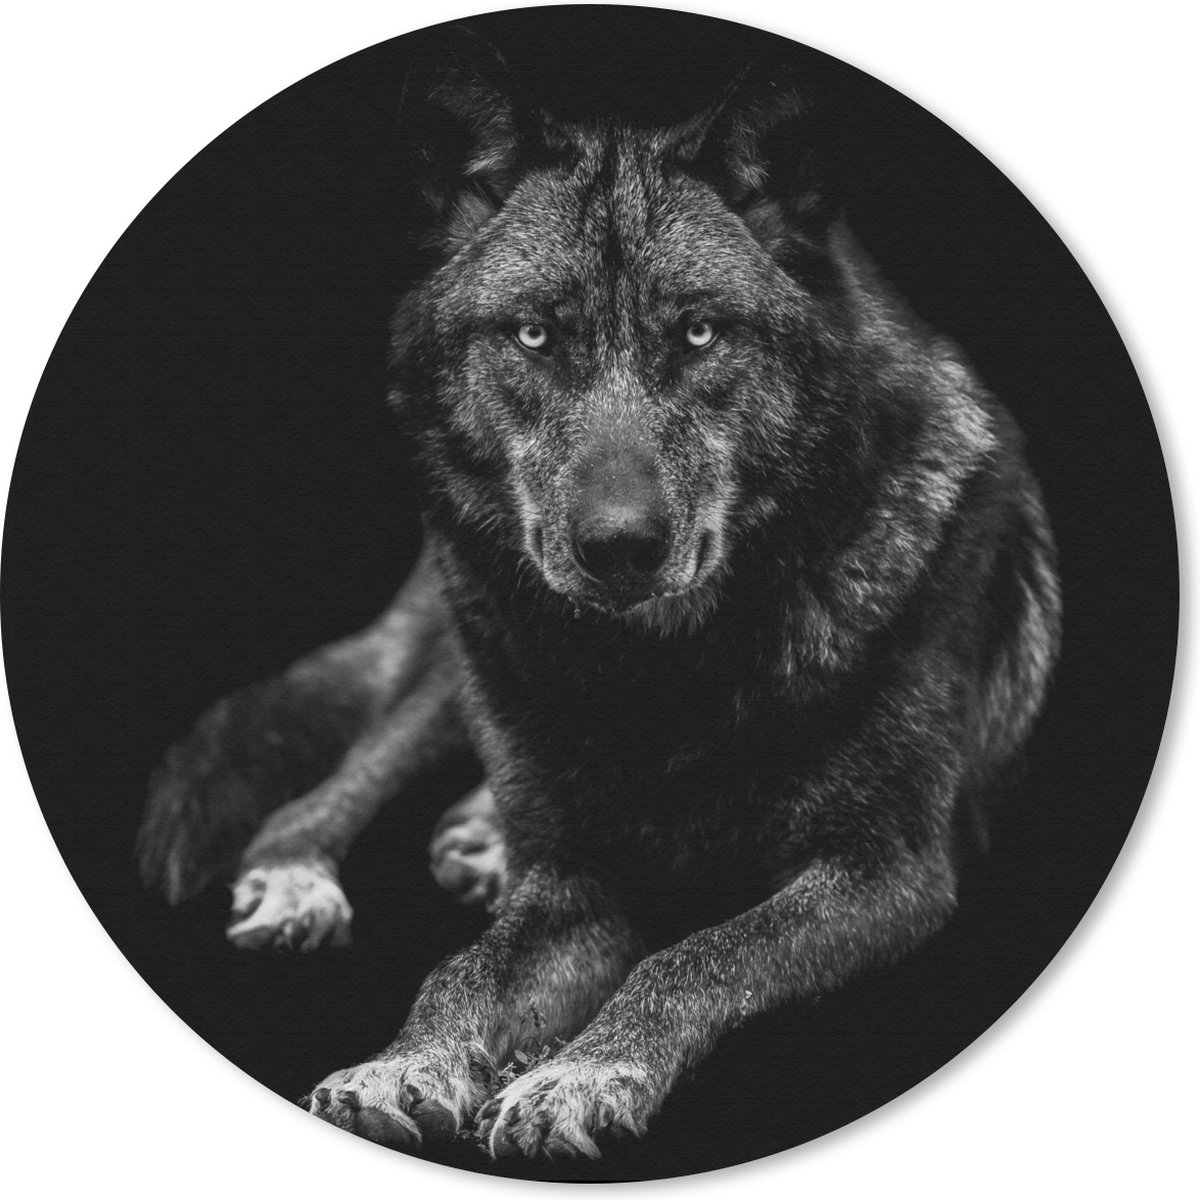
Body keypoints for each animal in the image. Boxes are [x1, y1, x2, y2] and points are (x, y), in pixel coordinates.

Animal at [138, 36, 1060, 1160]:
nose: (621, 547)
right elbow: (464, 968)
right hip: (466, 661)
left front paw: (576, 1075)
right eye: (535, 336)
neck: (660, 680)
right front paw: (404, 1064)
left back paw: (479, 844)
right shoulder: (578, 883)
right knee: (327, 788)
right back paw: (306, 874)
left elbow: (697, 953)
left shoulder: (890, 870)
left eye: (701, 333)